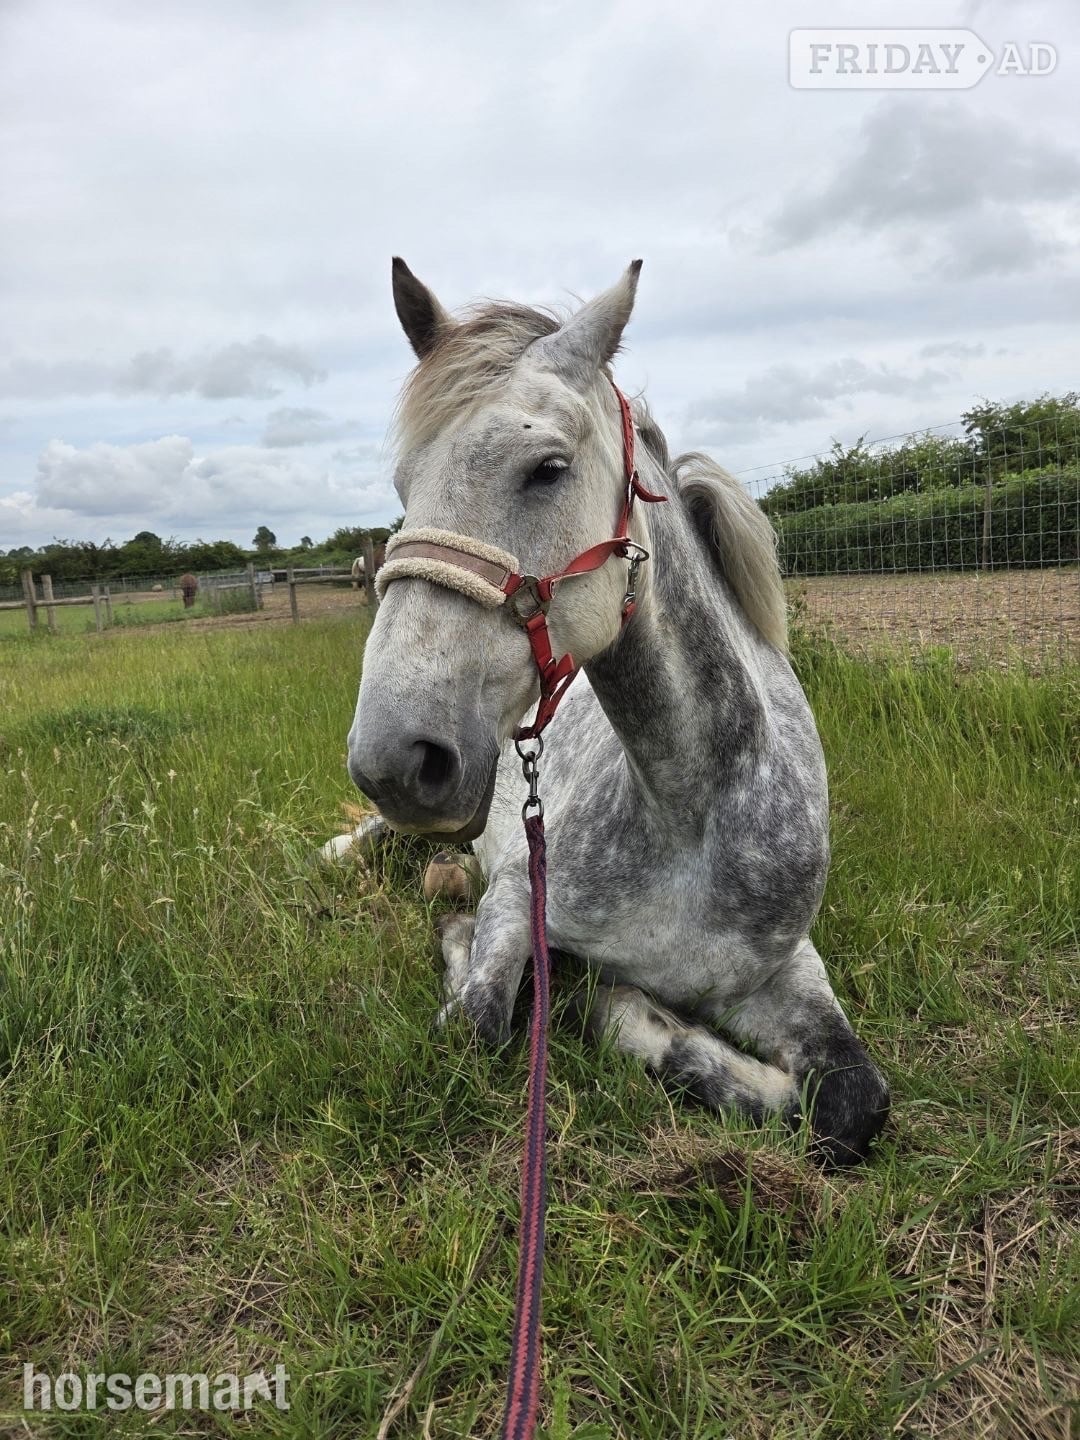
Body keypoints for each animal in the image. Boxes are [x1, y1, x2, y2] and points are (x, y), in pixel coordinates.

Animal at [345, 258, 889, 1168]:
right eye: (403, 485)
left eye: (548, 468)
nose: (394, 757)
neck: (691, 810)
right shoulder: (514, 898)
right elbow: (478, 1020)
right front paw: (595, 998)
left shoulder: (786, 970)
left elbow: (851, 1103)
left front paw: (633, 1013)